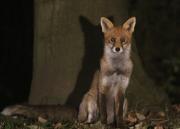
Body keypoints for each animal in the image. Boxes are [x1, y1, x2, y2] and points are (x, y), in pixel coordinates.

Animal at [0, 16, 136, 126]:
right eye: (112, 39)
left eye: (123, 40)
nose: (117, 49)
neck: (117, 68)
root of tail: (77, 112)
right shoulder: (103, 87)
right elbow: (103, 112)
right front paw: (104, 124)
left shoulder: (121, 89)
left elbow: (119, 114)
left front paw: (120, 125)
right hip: (89, 100)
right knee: (84, 121)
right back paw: (91, 123)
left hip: (126, 101)